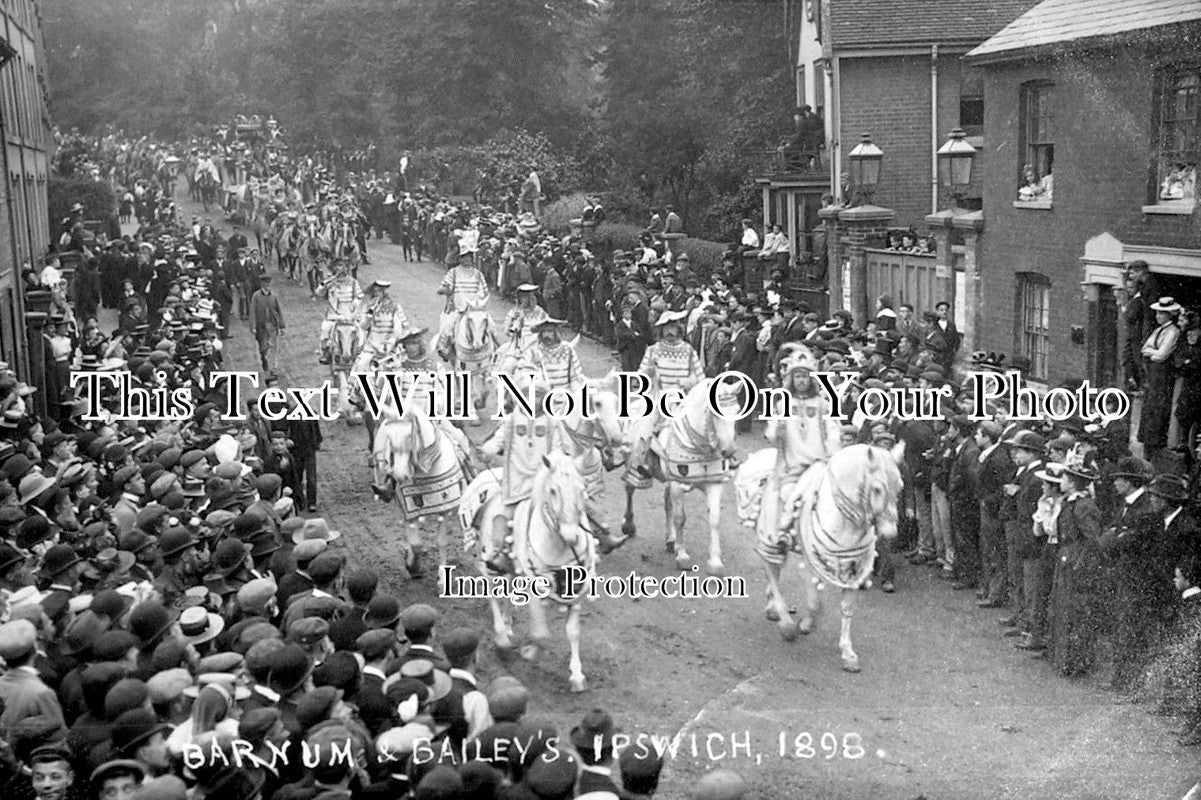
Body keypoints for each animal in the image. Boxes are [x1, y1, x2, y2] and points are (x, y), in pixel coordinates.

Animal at [453, 449, 595, 691]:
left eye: (582, 489)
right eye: (553, 490)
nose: (570, 536)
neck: (557, 547)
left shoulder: (575, 591)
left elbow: (573, 632)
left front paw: (577, 675)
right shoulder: (534, 588)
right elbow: (541, 634)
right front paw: (528, 652)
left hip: (511, 566)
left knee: (509, 587)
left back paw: (508, 625)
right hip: (489, 562)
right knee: (492, 593)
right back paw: (502, 638)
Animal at [624, 374, 744, 574]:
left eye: (737, 410)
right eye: (715, 413)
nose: (729, 451)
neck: (699, 446)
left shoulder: (713, 483)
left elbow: (714, 520)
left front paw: (715, 562)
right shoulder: (677, 485)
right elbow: (680, 518)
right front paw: (682, 556)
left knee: (667, 503)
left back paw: (671, 539)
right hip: (634, 466)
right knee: (629, 490)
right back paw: (628, 526)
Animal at [735, 439, 903, 667]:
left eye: (900, 488)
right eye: (877, 489)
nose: (890, 532)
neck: (844, 523)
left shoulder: (852, 569)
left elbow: (846, 609)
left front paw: (848, 653)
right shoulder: (810, 564)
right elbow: (814, 602)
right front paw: (804, 625)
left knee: (775, 570)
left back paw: (773, 608)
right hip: (770, 537)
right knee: (771, 566)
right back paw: (783, 620)